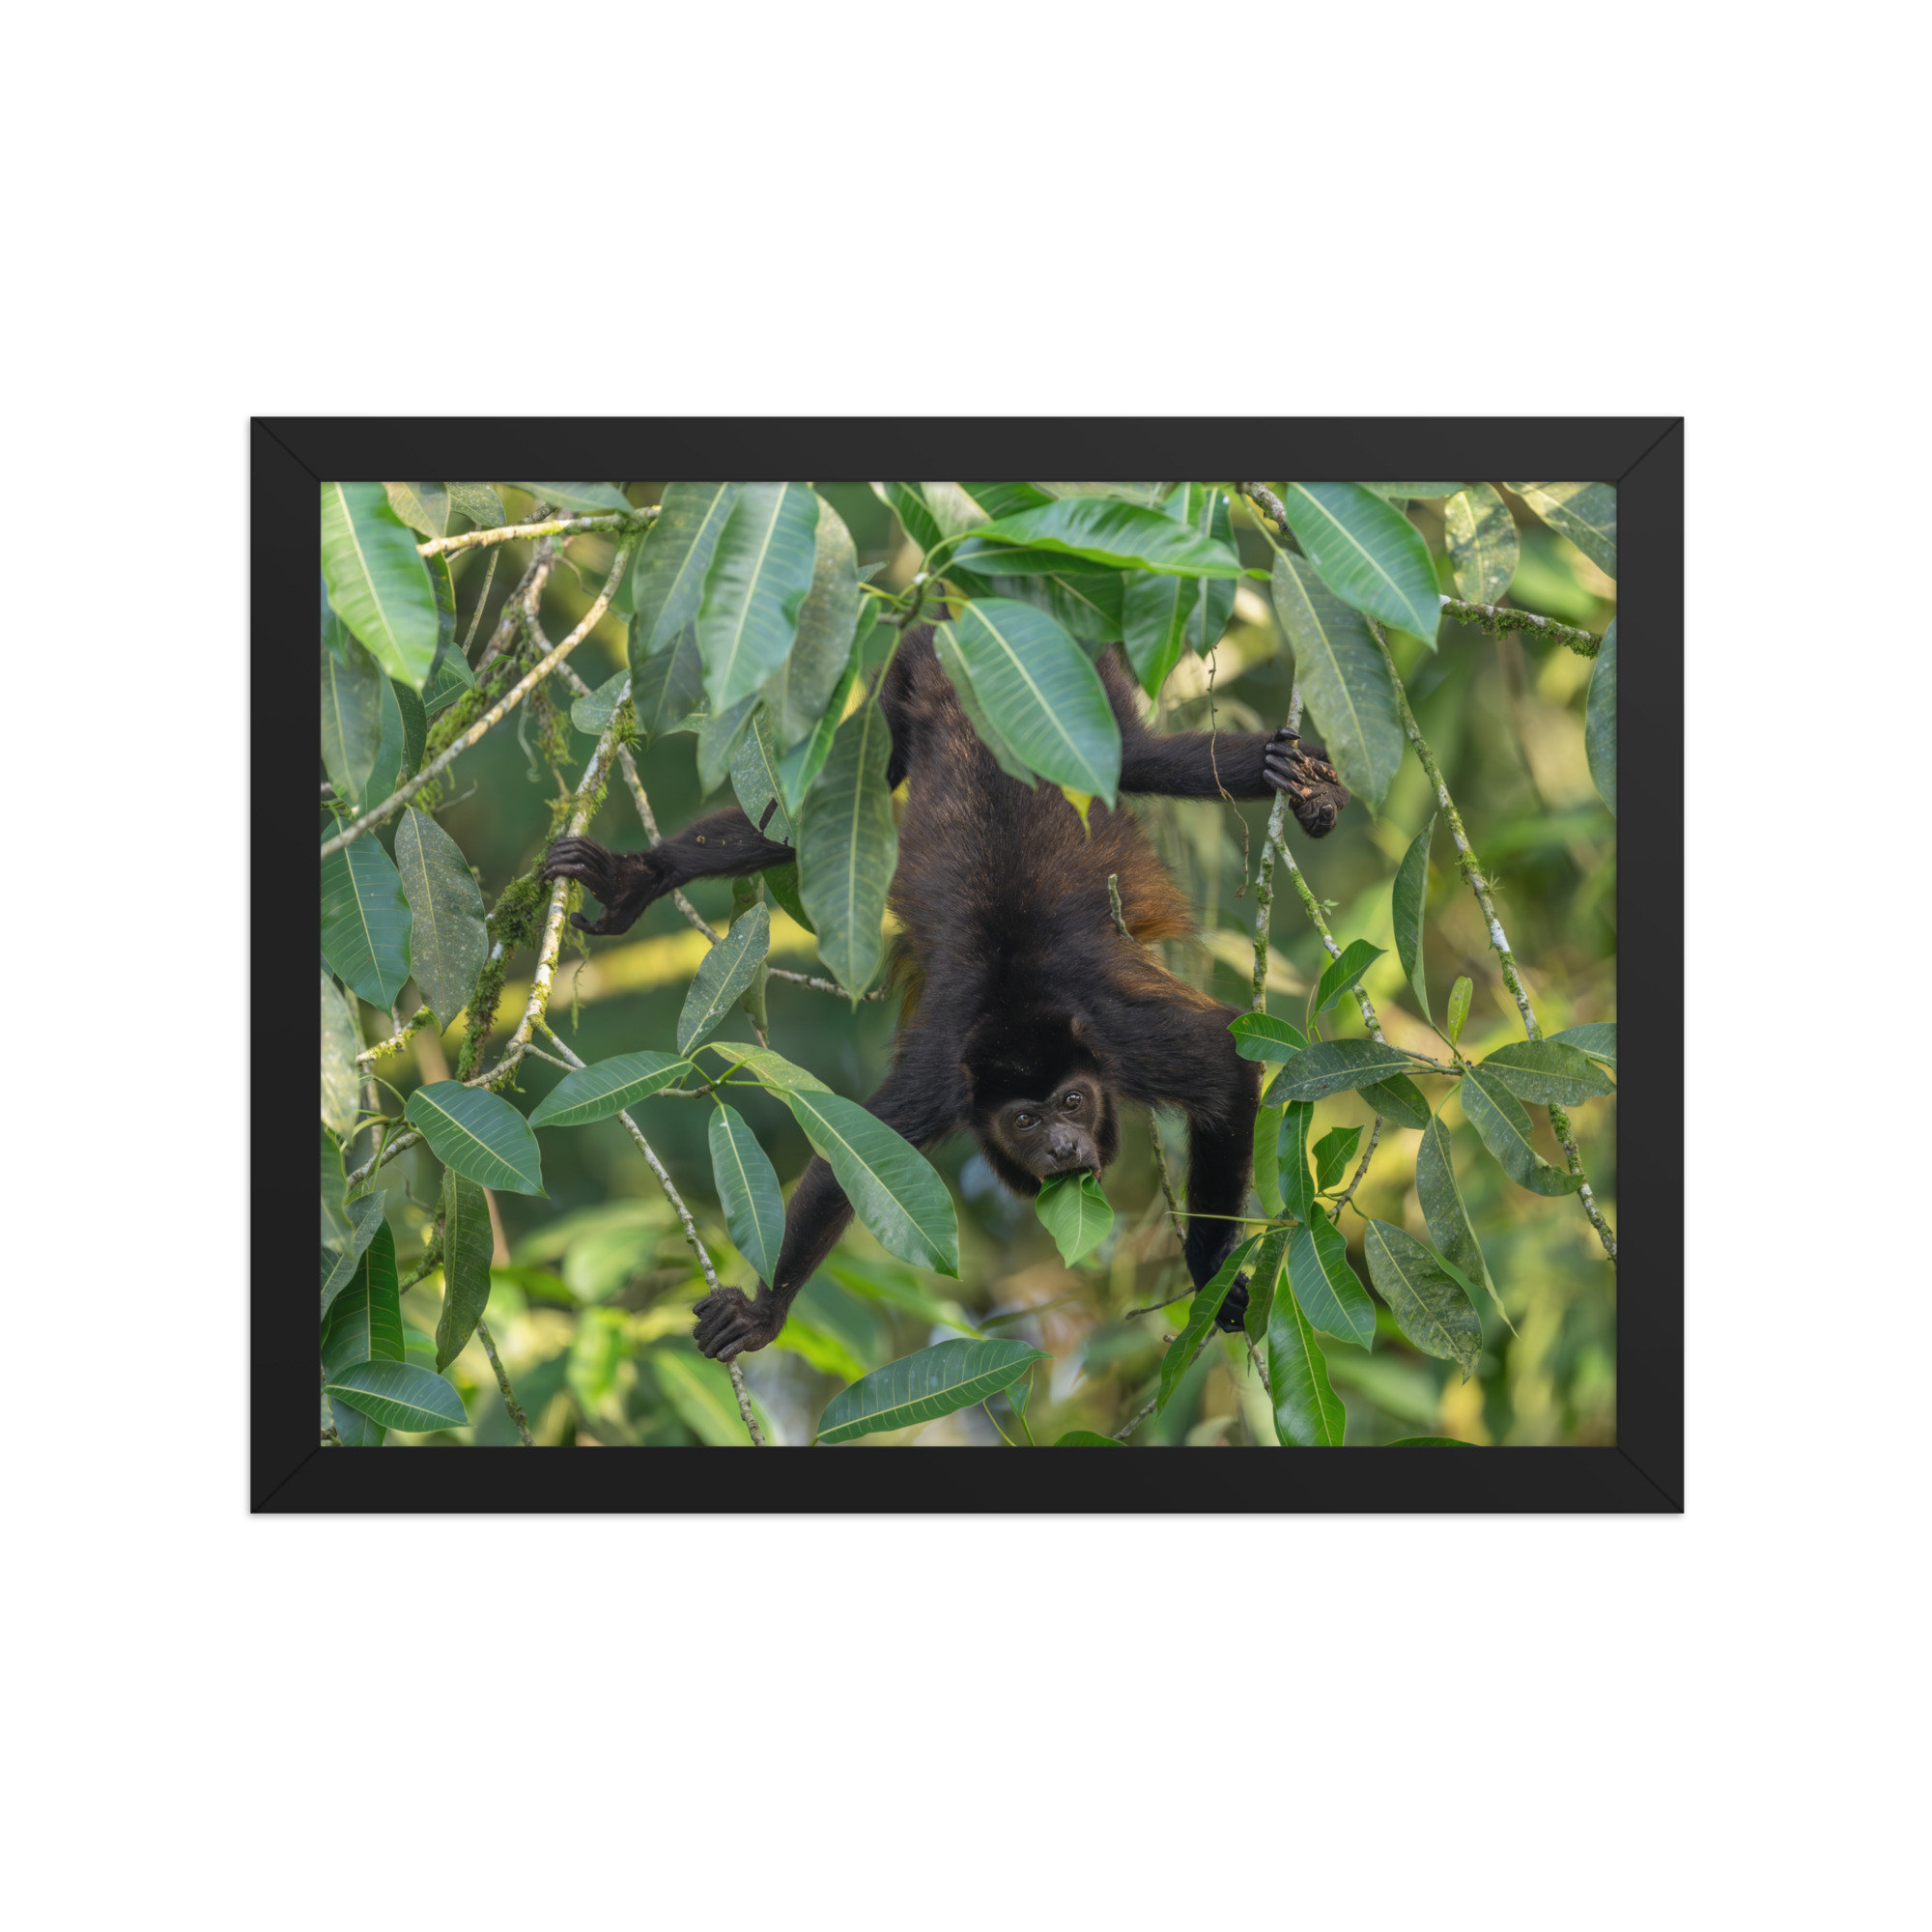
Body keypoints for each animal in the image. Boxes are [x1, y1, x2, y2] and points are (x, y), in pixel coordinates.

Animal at [541, 626, 1348, 1361]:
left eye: (1073, 1102)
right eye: (1025, 1120)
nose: (1062, 1145)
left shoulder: (1122, 1040)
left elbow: (1224, 1062)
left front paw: (1210, 1269)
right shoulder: (943, 1080)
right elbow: (853, 1157)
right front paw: (765, 1313)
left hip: (1083, 688)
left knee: (1146, 758)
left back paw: (1298, 780)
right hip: (901, 699)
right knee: (827, 807)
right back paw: (640, 876)